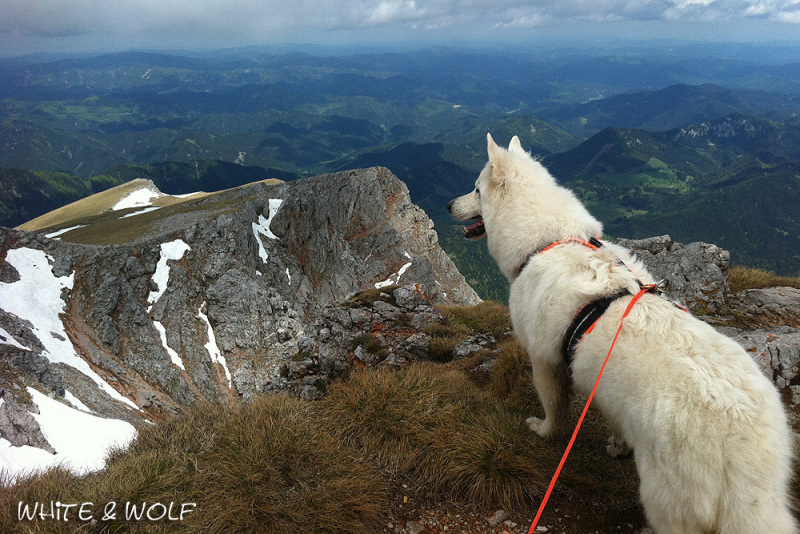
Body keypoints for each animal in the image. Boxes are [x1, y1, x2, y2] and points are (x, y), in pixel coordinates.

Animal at [446, 133, 796, 532]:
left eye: (476, 189)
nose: (447, 205)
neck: (550, 240)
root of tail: (742, 440)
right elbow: (613, 419)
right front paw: (618, 446)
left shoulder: (545, 361)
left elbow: (554, 409)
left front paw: (544, 430)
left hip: (664, 497)